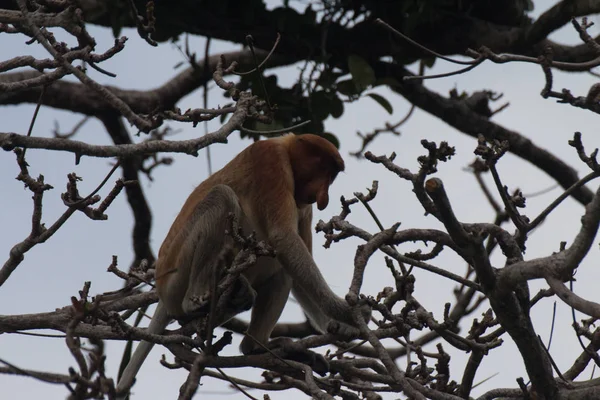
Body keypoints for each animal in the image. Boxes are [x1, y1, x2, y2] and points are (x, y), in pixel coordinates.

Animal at [113, 134, 366, 396]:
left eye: (332, 177)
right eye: (324, 170)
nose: (323, 199)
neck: (286, 149)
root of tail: (162, 290)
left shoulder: (303, 206)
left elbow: (296, 258)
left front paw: (339, 326)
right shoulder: (269, 160)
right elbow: (284, 238)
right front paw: (347, 313)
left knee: (282, 271)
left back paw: (257, 345)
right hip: (177, 276)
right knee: (221, 196)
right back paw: (198, 302)